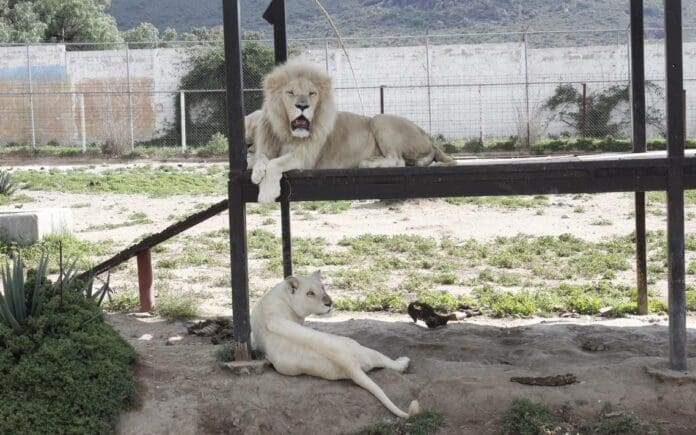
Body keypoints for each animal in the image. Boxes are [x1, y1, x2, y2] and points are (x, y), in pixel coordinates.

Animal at [250, 59, 455, 203]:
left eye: (312, 93)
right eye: (290, 92)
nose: (302, 106)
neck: (285, 132)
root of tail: (429, 138)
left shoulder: (305, 158)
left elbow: (275, 163)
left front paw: (267, 194)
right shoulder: (267, 148)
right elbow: (260, 158)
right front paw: (257, 172)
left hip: (380, 120)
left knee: (398, 160)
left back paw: (368, 162)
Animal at [250, 271, 420, 418]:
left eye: (323, 287)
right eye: (310, 293)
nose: (329, 303)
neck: (281, 296)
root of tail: (348, 363)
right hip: (358, 346)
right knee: (389, 362)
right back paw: (403, 362)